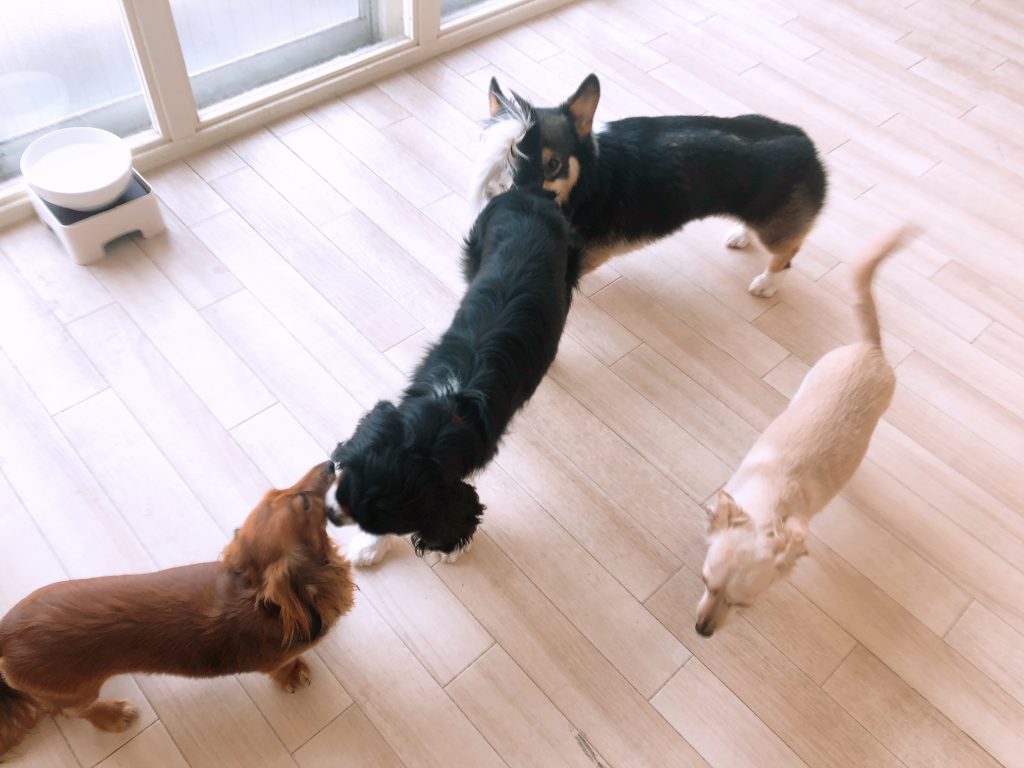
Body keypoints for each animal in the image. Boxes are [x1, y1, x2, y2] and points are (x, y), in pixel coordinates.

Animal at [0, 462, 353, 757]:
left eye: (277, 491)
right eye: (304, 502)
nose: (330, 463)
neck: (258, 596)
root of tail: (6, 634)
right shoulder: (276, 658)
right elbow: (285, 667)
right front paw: (295, 674)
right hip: (78, 691)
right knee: (77, 710)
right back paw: (113, 714)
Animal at [327, 92, 582, 567]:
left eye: (378, 516)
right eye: (344, 480)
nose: (331, 515)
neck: (447, 404)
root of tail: (526, 193)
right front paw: (368, 549)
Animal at [474, 74, 828, 298]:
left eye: (553, 164)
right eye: (503, 161)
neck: (587, 179)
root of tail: (807, 145)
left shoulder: (586, 254)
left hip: (774, 231)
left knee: (786, 252)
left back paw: (767, 283)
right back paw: (741, 235)